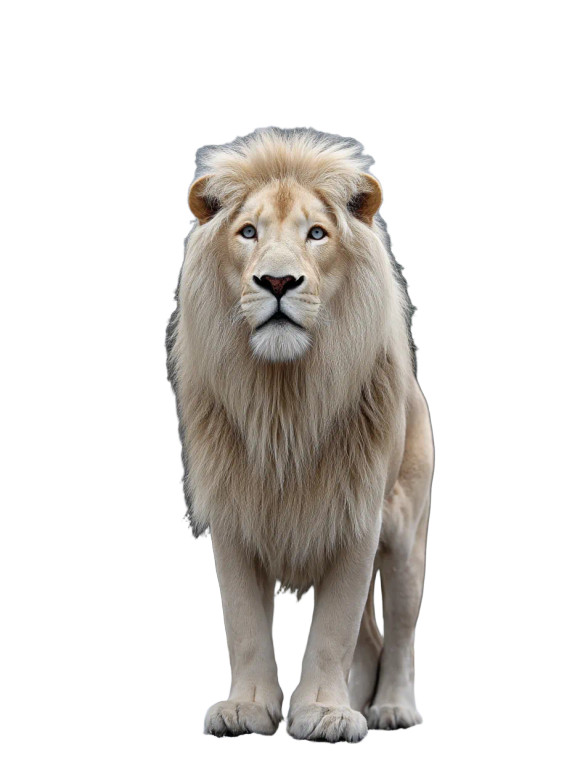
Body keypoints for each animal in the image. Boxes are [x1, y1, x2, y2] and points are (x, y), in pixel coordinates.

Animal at [166, 127, 434, 743]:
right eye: (248, 232)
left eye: (317, 233)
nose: (278, 281)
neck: (284, 397)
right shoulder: (235, 512)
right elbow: (242, 622)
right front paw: (246, 707)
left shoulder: (357, 513)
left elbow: (333, 629)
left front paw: (324, 712)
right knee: (372, 639)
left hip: (408, 535)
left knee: (400, 633)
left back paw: (391, 708)